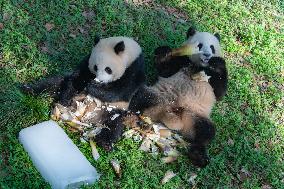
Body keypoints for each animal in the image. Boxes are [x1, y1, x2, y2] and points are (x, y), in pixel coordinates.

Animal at [127, 28, 227, 167]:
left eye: (212, 47)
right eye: (200, 45)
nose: (207, 55)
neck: (198, 67)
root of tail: (170, 116)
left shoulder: (210, 80)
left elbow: (219, 92)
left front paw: (217, 63)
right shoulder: (182, 62)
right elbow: (165, 70)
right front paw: (164, 52)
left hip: (193, 115)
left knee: (206, 132)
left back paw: (198, 156)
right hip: (159, 96)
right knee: (140, 96)